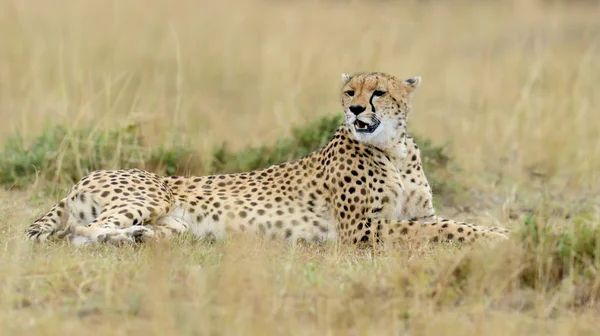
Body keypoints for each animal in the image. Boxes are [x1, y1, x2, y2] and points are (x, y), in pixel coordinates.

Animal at [25, 72, 508, 245]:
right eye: (350, 90)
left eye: (379, 92)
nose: (355, 109)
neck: (394, 149)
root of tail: (80, 180)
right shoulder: (362, 230)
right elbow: (448, 228)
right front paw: (500, 236)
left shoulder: (416, 214)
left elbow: (453, 221)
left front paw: (499, 228)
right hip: (149, 196)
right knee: (83, 232)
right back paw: (127, 238)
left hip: (174, 221)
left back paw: (144, 238)